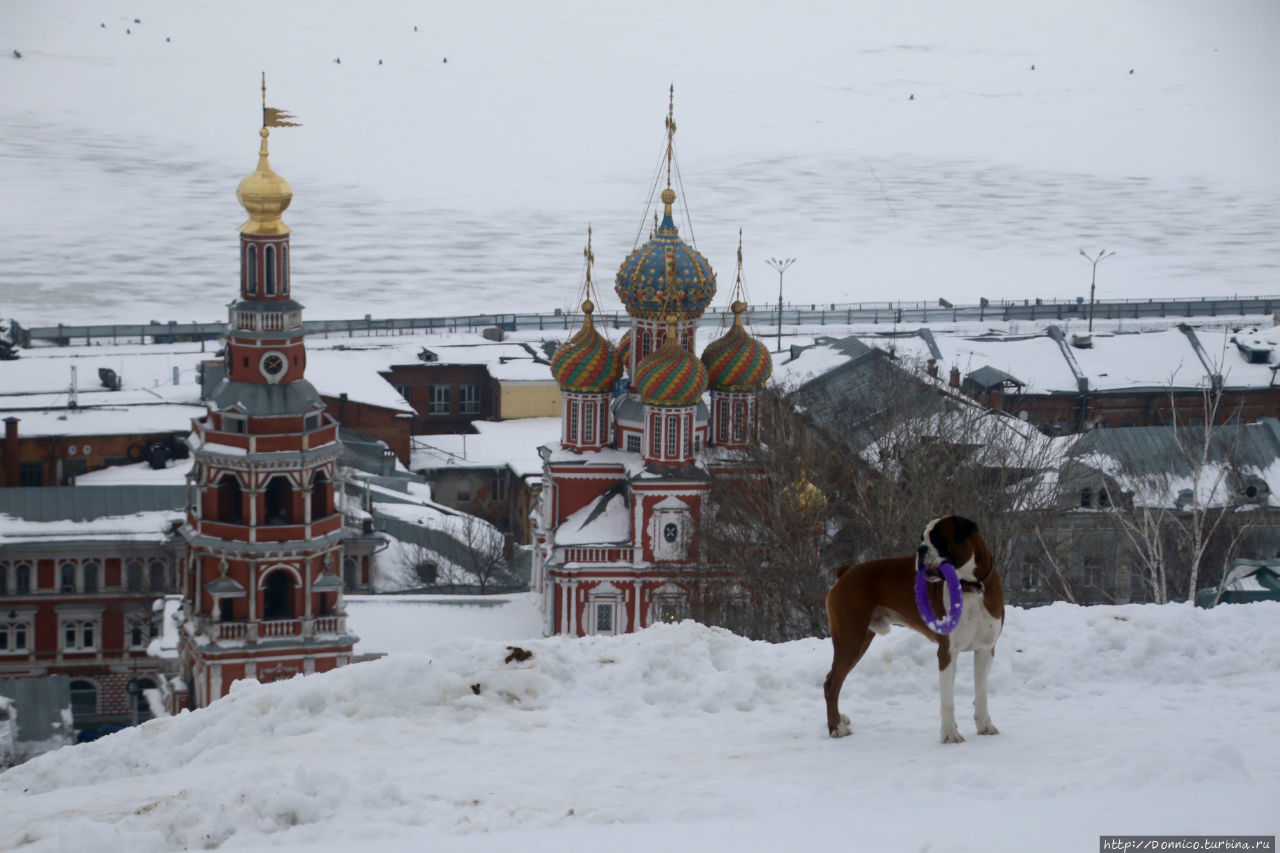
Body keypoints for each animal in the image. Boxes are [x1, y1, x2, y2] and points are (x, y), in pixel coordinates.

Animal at [824, 514, 1003, 742]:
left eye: (938, 538)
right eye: (922, 538)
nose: (921, 549)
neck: (970, 586)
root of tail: (845, 572)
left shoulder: (985, 650)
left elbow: (981, 694)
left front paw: (985, 726)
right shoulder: (947, 653)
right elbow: (947, 700)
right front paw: (950, 733)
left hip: (860, 639)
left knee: (834, 680)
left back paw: (839, 719)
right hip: (850, 640)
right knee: (831, 683)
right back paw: (836, 727)